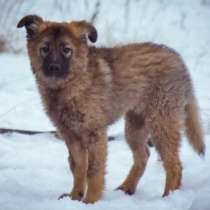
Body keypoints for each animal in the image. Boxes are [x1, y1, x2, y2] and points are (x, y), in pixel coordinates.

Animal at [17, 14, 204, 203]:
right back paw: (127, 188)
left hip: (162, 122)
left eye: (66, 50)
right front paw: (74, 197)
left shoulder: (95, 133)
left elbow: (93, 170)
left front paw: (90, 201)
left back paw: (168, 197)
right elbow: (78, 168)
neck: (71, 86)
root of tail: (178, 59)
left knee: (174, 164)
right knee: (143, 155)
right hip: (135, 126)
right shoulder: (71, 135)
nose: (53, 68)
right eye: (44, 49)